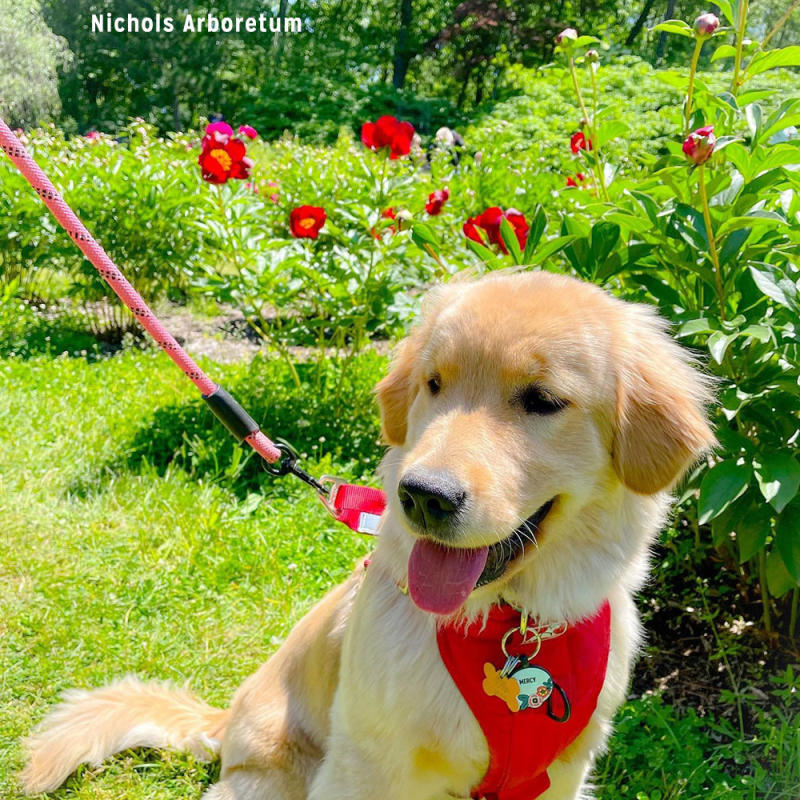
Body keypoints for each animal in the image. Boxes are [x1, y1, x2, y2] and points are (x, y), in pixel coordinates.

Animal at [21, 270, 716, 800]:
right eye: (434, 383)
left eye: (542, 400)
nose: (423, 496)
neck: (507, 624)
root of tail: (227, 723)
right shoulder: (367, 765)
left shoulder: (559, 774)